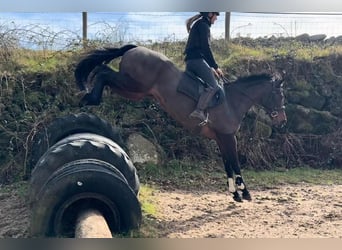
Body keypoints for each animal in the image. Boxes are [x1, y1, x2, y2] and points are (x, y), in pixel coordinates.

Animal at [74, 44, 286, 202]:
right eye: (280, 95)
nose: (283, 120)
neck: (233, 101)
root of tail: (136, 48)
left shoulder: (220, 137)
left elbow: (227, 164)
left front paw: (234, 193)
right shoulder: (228, 136)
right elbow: (235, 163)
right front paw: (245, 192)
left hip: (133, 90)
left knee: (104, 72)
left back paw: (89, 97)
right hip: (133, 84)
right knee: (103, 73)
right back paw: (90, 97)